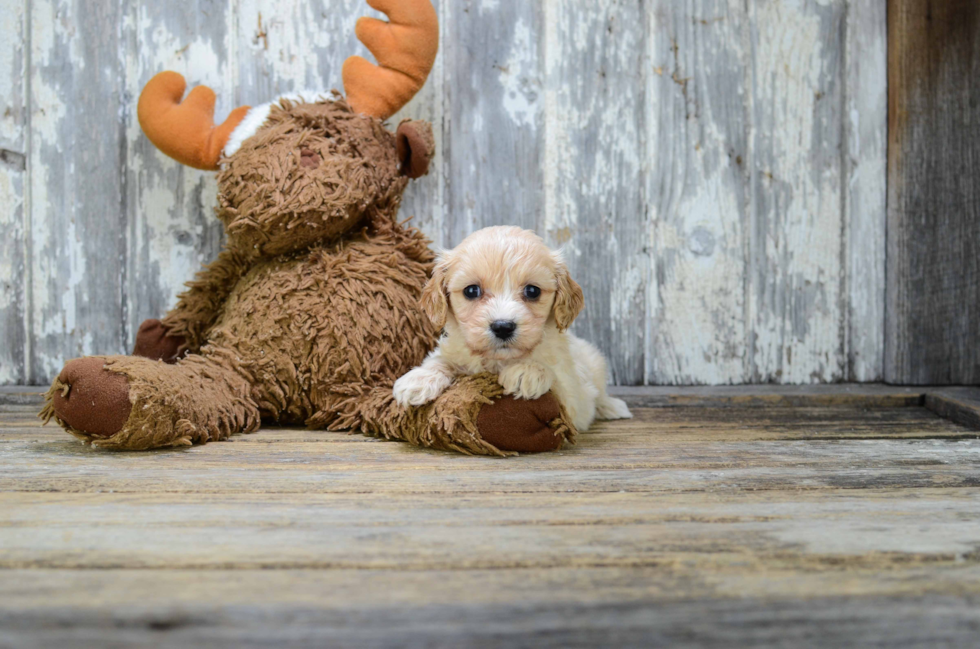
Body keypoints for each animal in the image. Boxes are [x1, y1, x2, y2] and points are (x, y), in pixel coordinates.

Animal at [392, 225, 632, 432]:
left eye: (532, 291)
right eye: (471, 291)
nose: (503, 327)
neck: (499, 361)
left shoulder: (576, 397)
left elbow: (558, 383)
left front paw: (528, 371)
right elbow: (440, 360)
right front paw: (418, 380)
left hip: (596, 363)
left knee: (600, 394)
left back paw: (611, 406)